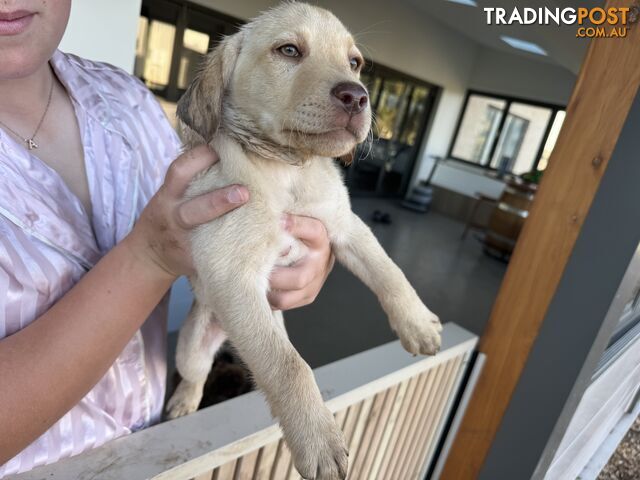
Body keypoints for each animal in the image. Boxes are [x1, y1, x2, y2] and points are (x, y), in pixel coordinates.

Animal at [168, 1, 442, 478]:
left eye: (355, 62)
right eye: (289, 50)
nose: (357, 96)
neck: (288, 169)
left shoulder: (347, 226)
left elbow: (390, 273)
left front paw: (418, 324)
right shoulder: (231, 272)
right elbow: (288, 366)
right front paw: (318, 440)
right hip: (194, 344)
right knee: (198, 373)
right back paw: (184, 402)